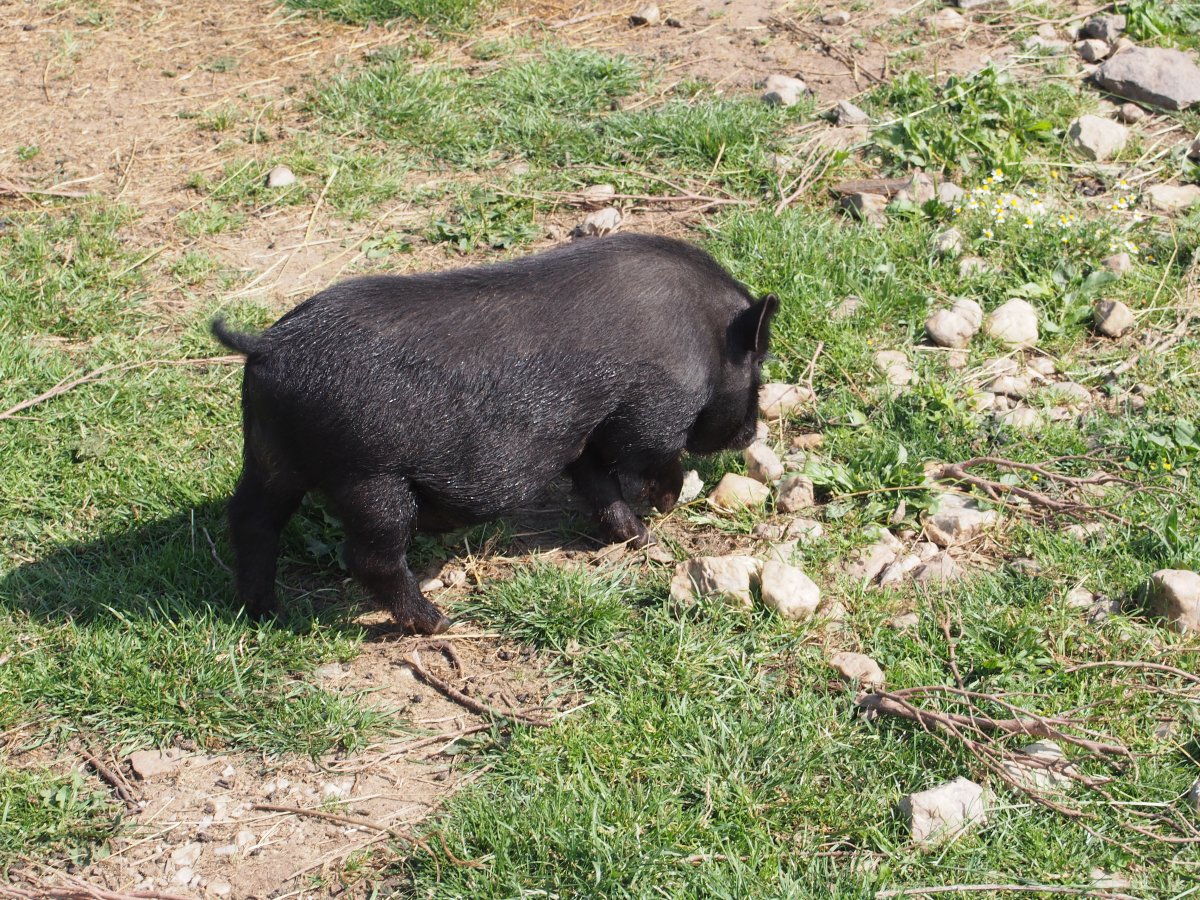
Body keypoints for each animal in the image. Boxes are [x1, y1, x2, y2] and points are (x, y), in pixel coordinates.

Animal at [212, 233, 779, 634]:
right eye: (757, 363)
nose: (752, 433)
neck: (705, 338)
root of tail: (267, 346)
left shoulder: (583, 430)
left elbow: (599, 488)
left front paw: (639, 539)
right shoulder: (649, 412)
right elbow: (652, 460)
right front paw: (663, 510)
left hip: (269, 456)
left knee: (250, 520)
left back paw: (266, 613)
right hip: (369, 478)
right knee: (369, 557)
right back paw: (439, 622)